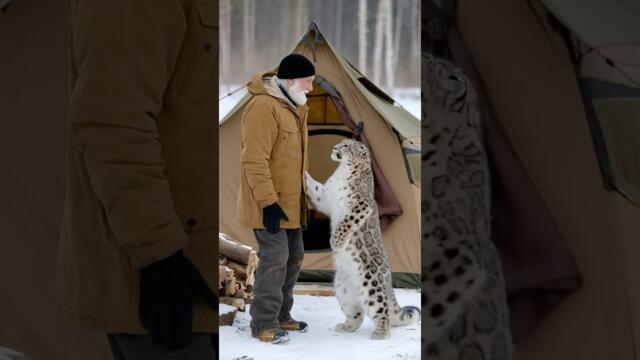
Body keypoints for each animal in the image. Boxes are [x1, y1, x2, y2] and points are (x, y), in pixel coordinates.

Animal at [304, 138, 420, 340]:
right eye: (341, 143)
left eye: (346, 146)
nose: (335, 148)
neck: (341, 171)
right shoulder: (325, 197)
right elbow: (316, 188)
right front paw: (303, 174)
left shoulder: (361, 205)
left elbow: (346, 222)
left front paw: (336, 242)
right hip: (342, 290)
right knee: (357, 314)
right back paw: (346, 326)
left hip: (372, 286)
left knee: (383, 312)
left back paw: (380, 333)